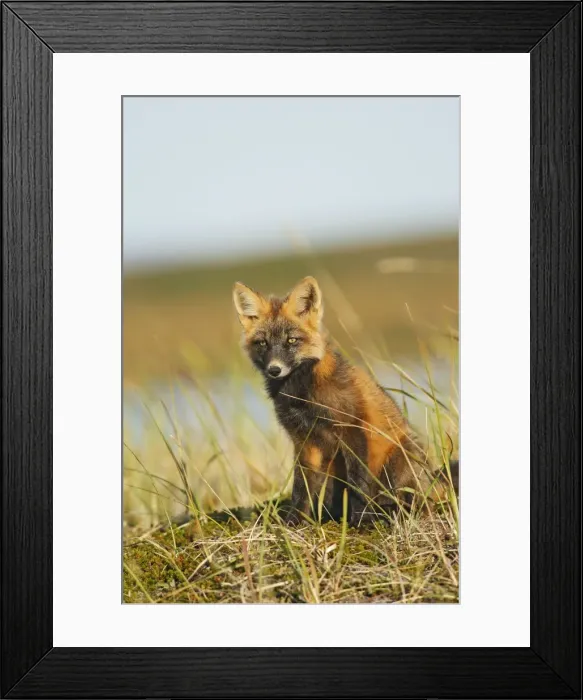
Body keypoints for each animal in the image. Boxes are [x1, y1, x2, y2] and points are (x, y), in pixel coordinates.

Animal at [233, 276, 458, 527]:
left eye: (292, 340)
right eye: (262, 343)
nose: (274, 370)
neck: (300, 396)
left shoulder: (352, 428)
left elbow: (357, 482)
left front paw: (361, 520)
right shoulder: (303, 440)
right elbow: (301, 488)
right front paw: (294, 521)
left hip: (399, 461)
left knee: (410, 501)